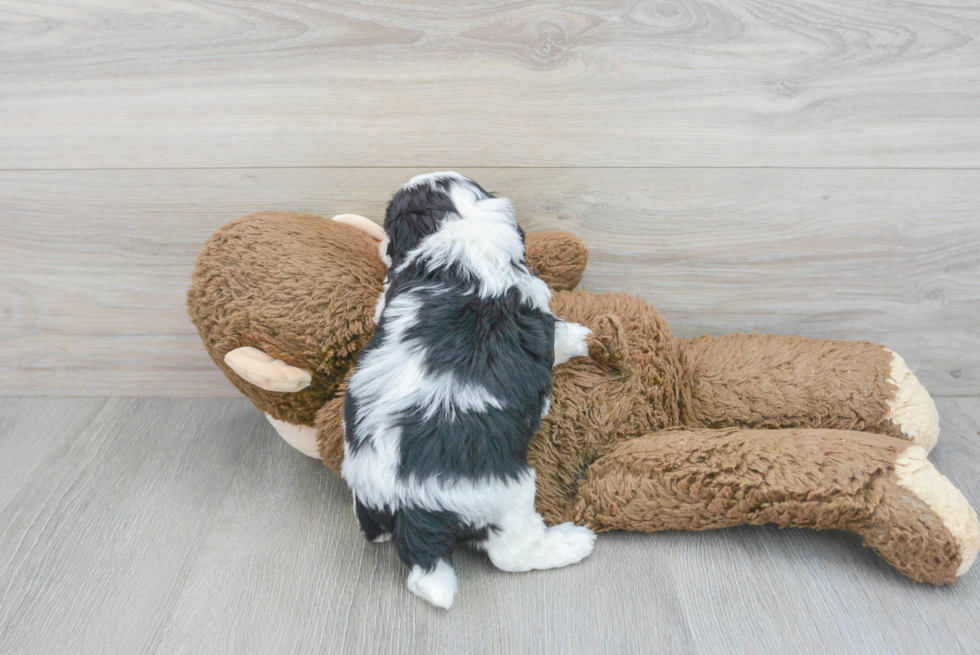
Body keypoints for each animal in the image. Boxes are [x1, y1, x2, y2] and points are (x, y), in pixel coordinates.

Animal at [340, 172, 592, 608]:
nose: (380, 246)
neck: (460, 228)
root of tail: (411, 509)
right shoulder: (537, 304)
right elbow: (560, 335)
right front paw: (582, 338)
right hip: (509, 494)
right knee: (513, 554)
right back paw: (572, 542)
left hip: (365, 489)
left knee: (371, 526)